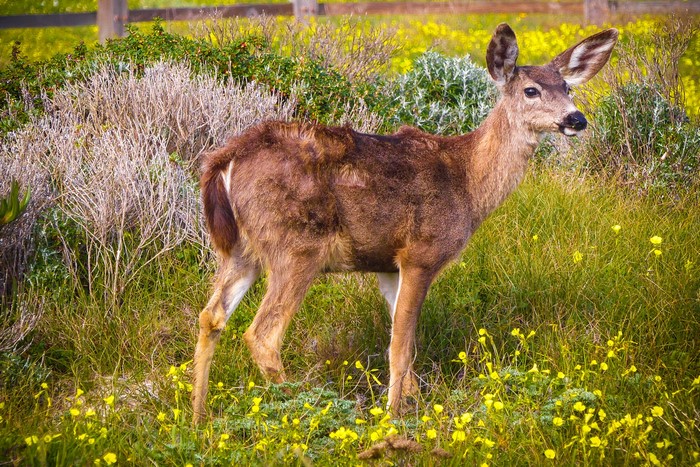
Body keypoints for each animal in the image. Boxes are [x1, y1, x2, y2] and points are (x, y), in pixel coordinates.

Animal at [191, 23, 618, 423]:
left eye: (567, 87)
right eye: (531, 90)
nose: (576, 118)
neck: (468, 183)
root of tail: (226, 160)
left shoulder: (387, 265)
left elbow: (400, 337)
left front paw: (412, 402)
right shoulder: (422, 253)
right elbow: (401, 344)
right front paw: (394, 416)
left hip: (240, 249)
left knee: (211, 316)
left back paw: (198, 418)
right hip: (296, 246)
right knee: (262, 334)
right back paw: (308, 409)